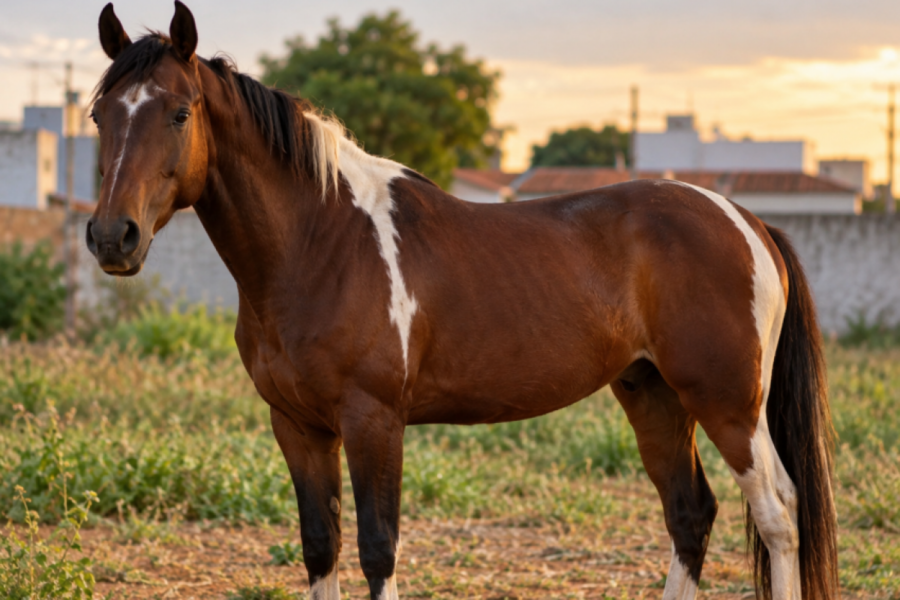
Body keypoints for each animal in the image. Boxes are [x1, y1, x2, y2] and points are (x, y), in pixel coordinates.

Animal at [87, 3, 838, 599]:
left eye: (180, 112)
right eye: (98, 115)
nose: (112, 236)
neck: (322, 243)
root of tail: (746, 219)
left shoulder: (373, 421)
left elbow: (378, 550)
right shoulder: (297, 426)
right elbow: (321, 547)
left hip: (728, 404)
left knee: (777, 514)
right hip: (652, 393)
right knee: (689, 514)